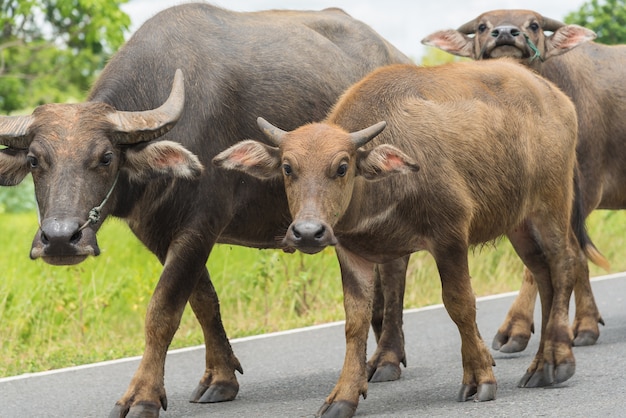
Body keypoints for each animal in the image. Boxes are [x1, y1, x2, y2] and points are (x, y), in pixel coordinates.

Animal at [0, 4, 410, 418]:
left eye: (105, 157)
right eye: (34, 160)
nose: (60, 239)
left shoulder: (201, 225)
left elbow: (162, 311)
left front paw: (141, 396)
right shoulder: (160, 235)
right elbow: (203, 302)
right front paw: (220, 379)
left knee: (394, 271)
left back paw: (386, 359)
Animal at [213, 59, 596, 418]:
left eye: (342, 167)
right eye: (288, 168)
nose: (308, 232)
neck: (385, 187)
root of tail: (557, 98)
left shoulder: (450, 236)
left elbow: (460, 305)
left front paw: (479, 378)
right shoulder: (351, 253)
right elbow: (355, 321)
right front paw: (343, 396)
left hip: (552, 204)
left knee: (565, 263)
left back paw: (555, 362)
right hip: (519, 222)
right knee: (543, 275)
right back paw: (542, 362)